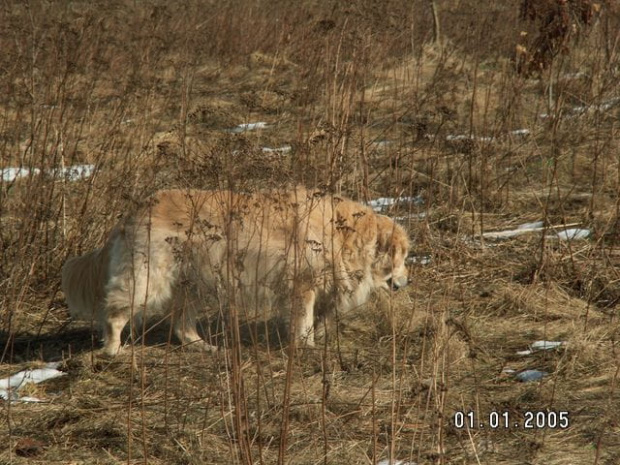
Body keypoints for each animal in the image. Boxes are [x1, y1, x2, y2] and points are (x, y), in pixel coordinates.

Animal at [61, 187, 412, 354]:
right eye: (404, 256)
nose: (406, 282)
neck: (346, 233)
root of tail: (133, 212)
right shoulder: (301, 284)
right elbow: (305, 320)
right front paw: (307, 346)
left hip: (189, 284)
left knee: (182, 326)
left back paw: (204, 347)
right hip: (148, 277)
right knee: (116, 312)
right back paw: (113, 349)